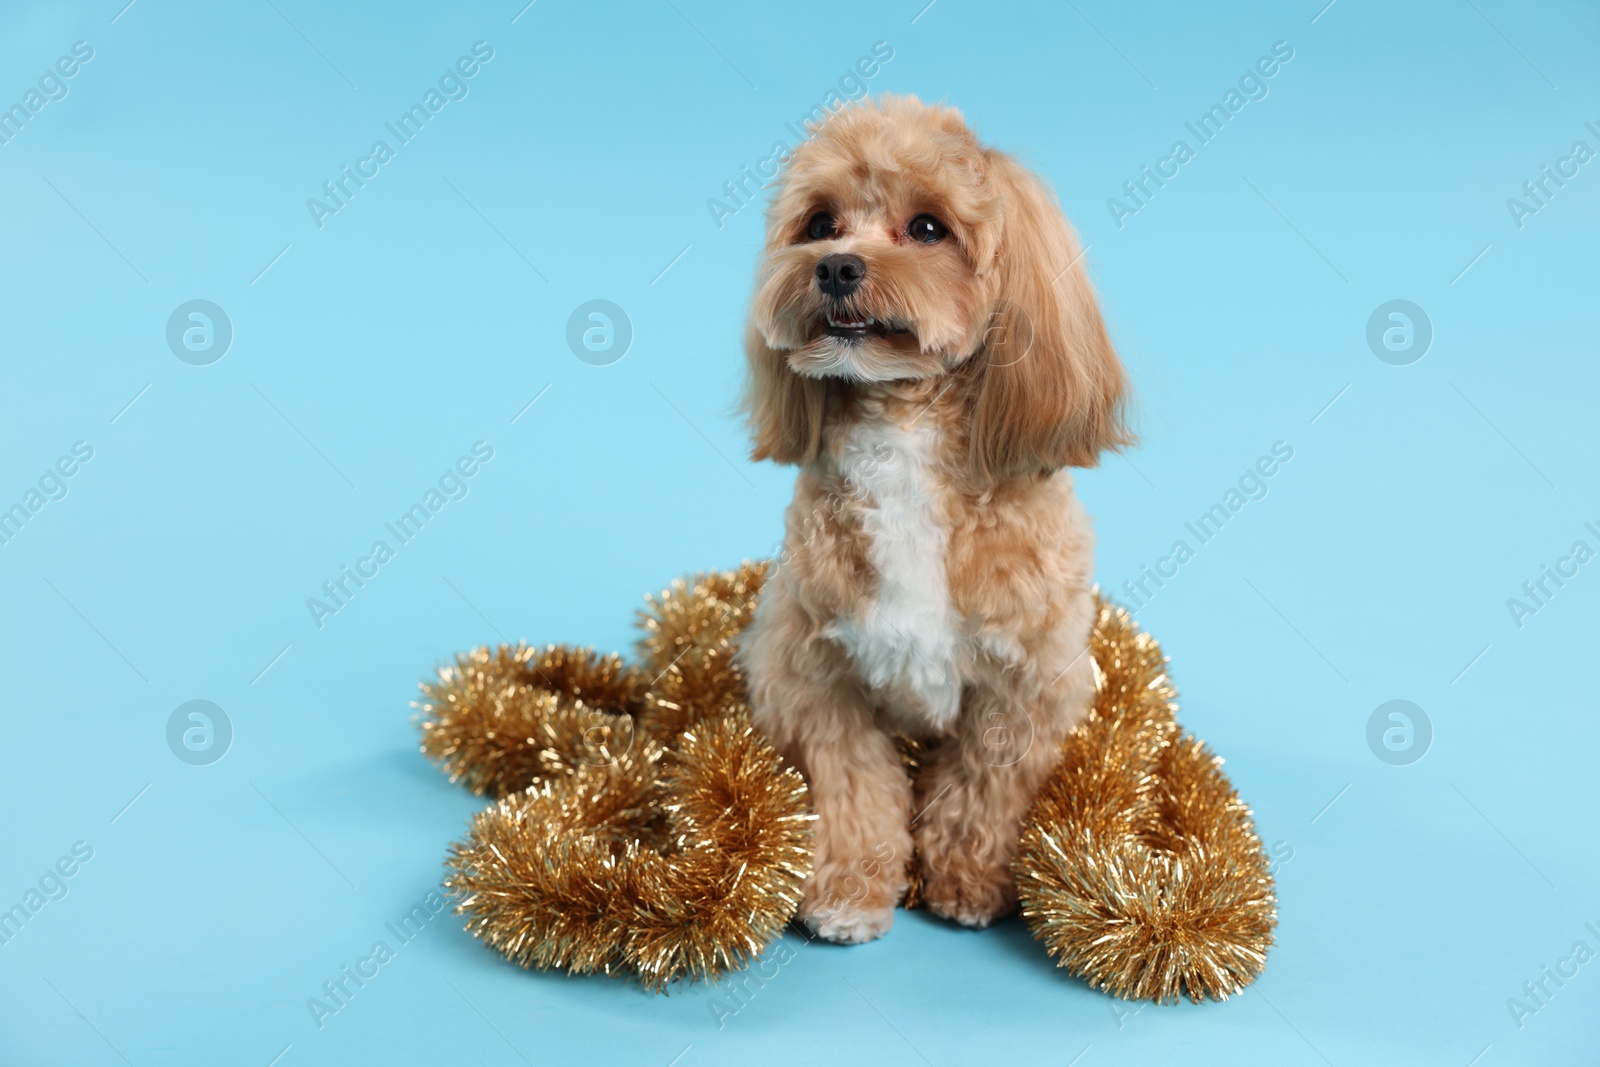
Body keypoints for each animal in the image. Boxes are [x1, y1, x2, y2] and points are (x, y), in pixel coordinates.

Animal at [739, 93, 1132, 940]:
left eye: (927, 228)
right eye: (819, 222)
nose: (836, 266)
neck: (903, 429)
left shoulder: (1026, 681)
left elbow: (984, 784)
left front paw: (970, 880)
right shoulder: (814, 670)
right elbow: (855, 786)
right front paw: (850, 888)